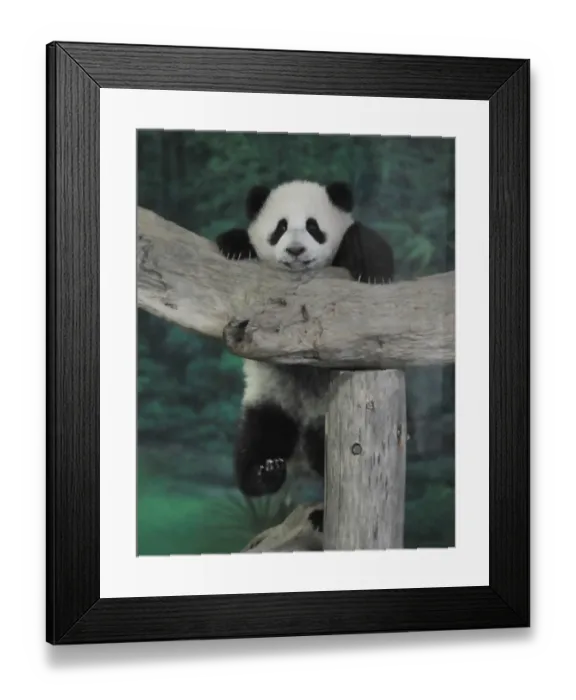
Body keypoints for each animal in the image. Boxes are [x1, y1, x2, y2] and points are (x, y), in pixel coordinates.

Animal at [216, 179, 394, 508]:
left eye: (313, 227)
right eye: (280, 227)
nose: (296, 250)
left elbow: (371, 250)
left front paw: (370, 266)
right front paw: (234, 244)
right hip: (269, 400)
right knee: (257, 439)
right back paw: (265, 471)